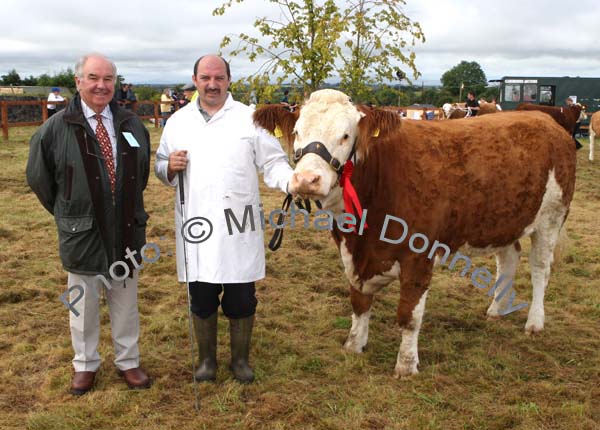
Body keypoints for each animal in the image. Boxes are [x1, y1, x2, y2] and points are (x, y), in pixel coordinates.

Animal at [253, 90, 576, 376]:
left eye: (345, 135)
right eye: (297, 132)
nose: (306, 179)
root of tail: (545, 121)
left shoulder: (419, 255)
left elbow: (408, 316)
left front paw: (406, 365)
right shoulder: (353, 255)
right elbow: (359, 303)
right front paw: (354, 345)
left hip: (551, 217)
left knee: (540, 269)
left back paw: (534, 322)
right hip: (503, 221)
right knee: (508, 260)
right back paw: (496, 309)